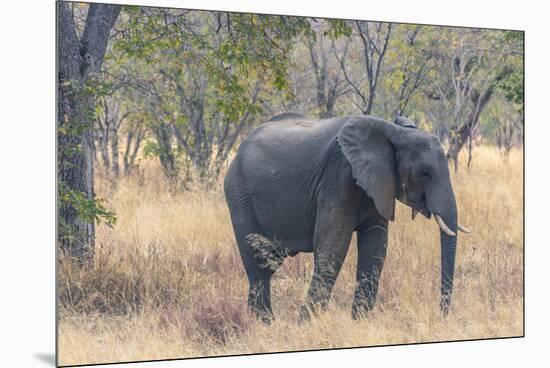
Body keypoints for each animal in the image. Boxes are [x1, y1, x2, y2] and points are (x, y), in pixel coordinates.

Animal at [224, 112, 470, 322]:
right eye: (425, 173)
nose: (442, 316)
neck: (394, 132)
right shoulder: (338, 177)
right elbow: (333, 246)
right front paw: (306, 323)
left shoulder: (378, 184)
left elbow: (376, 247)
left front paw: (359, 321)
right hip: (239, 195)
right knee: (258, 264)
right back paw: (265, 323)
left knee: (267, 264)